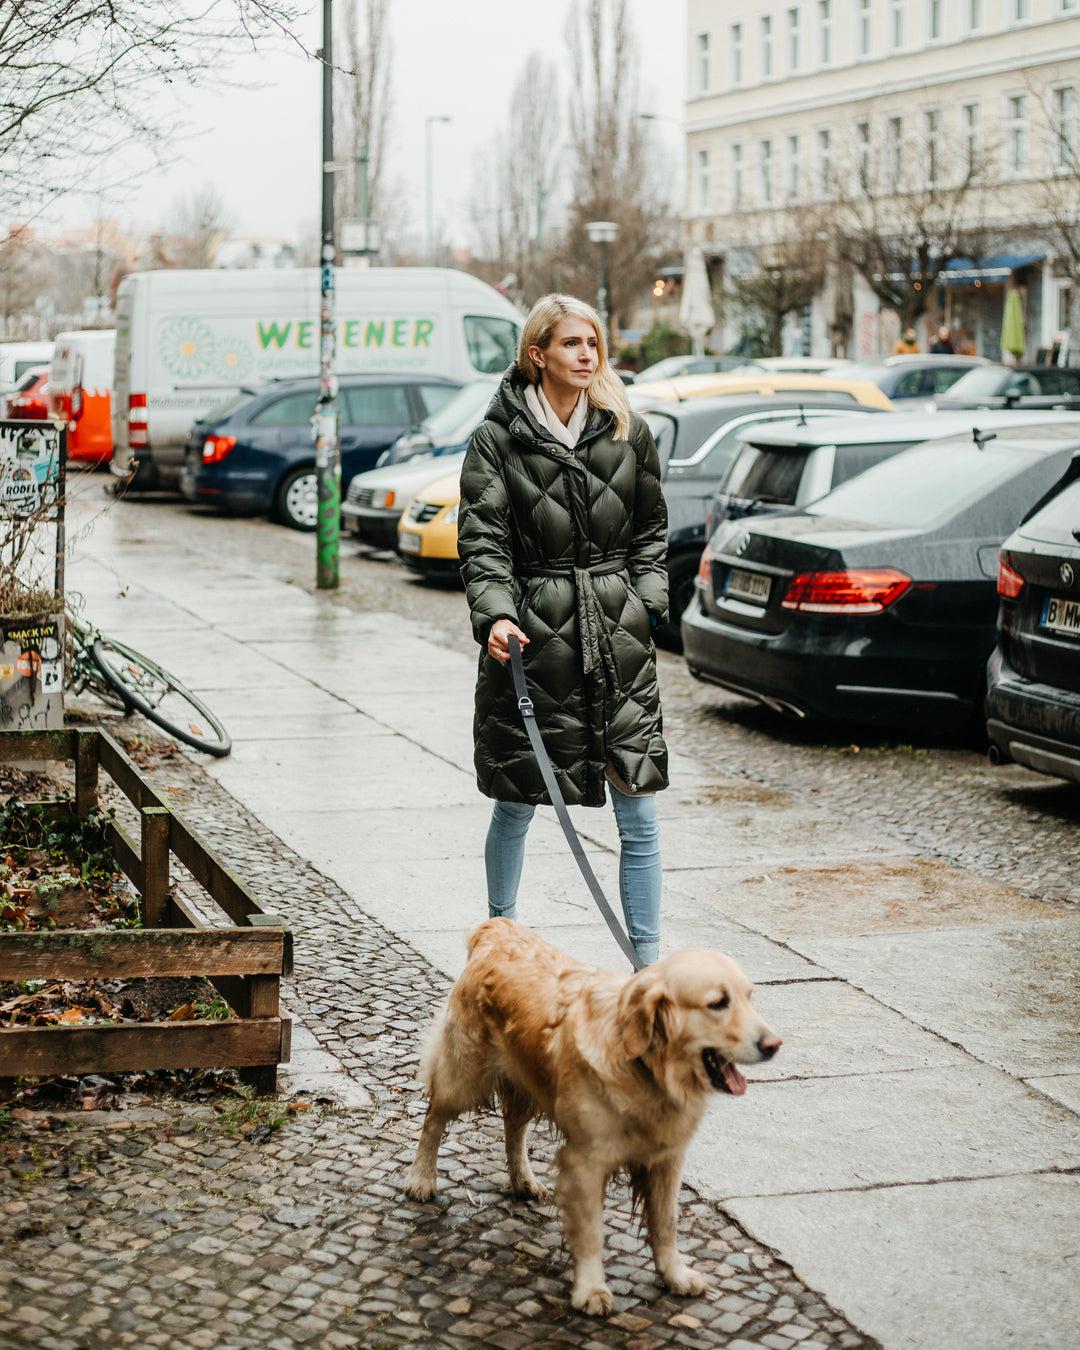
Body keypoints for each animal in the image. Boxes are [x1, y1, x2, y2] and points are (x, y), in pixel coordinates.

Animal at [402, 923, 777, 1312]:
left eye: (749, 997)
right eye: (718, 1003)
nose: (773, 1044)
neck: (644, 1069)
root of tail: (499, 930)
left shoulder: (666, 1159)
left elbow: (666, 1223)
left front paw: (675, 1275)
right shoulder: (585, 1161)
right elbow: (592, 1231)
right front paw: (591, 1289)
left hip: (527, 1079)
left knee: (513, 1127)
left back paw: (523, 1180)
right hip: (464, 1074)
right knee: (433, 1119)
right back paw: (421, 1179)